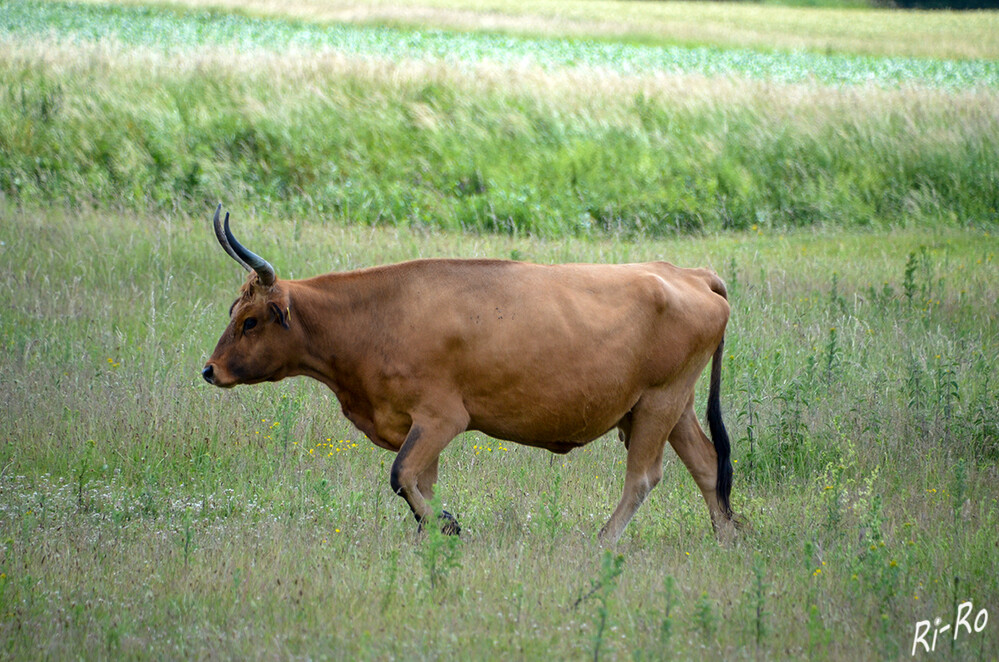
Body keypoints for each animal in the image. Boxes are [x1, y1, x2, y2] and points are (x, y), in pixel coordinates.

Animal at [203, 208, 740, 544]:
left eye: (250, 320)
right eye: (234, 311)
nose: (210, 369)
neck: (376, 317)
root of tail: (689, 274)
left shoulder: (441, 419)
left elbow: (401, 476)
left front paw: (449, 525)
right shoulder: (420, 428)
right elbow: (420, 483)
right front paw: (434, 531)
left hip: (659, 402)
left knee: (644, 477)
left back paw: (605, 539)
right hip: (674, 407)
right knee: (708, 465)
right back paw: (727, 538)